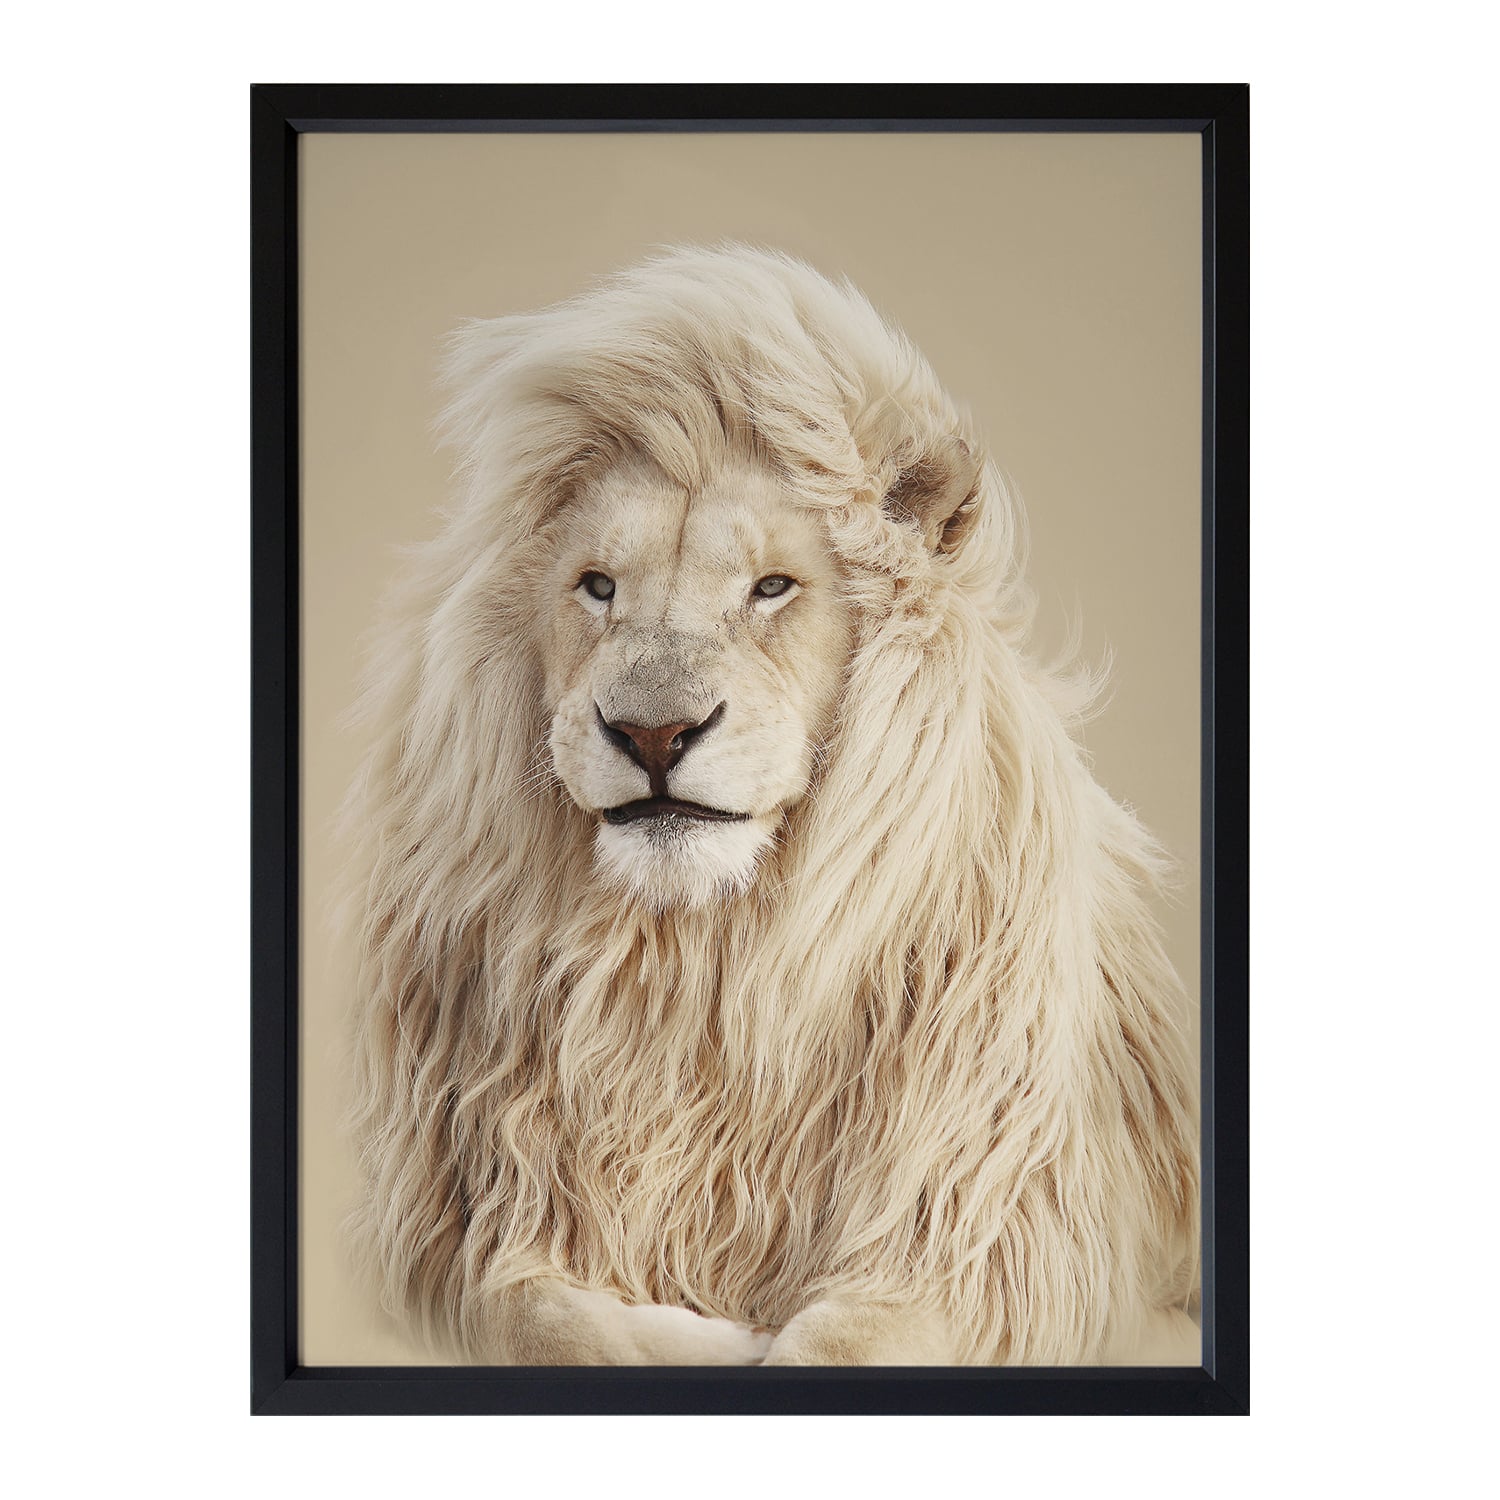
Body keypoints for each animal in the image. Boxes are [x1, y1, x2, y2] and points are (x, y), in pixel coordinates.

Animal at [347, 245, 1200, 1366]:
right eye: (597, 586)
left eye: (772, 588)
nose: (652, 733)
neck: (702, 970)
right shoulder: (464, 1225)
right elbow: (548, 1321)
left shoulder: (987, 1241)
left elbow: (835, 1346)